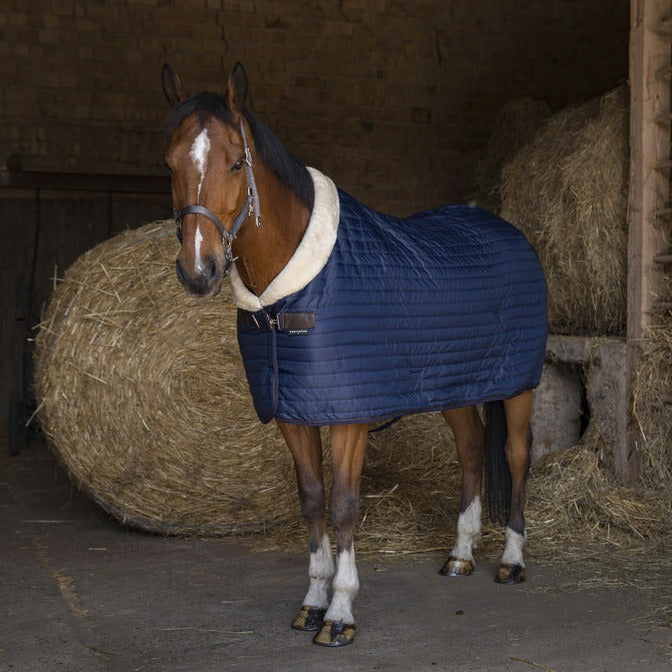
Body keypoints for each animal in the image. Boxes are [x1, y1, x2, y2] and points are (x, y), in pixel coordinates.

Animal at [161, 61, 544, 644]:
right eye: (171, 162)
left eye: (235, 162)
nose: (197, 269)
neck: (293, 294)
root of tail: (508, 231)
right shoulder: (294, 414)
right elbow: (313, 500)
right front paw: (312, 601)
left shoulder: (348, 418)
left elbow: (343, 507)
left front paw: (340, 612)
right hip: (452, 385)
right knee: (472, 448)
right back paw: (459, 554)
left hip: (518, 384)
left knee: (516, 454)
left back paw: (512, 560)